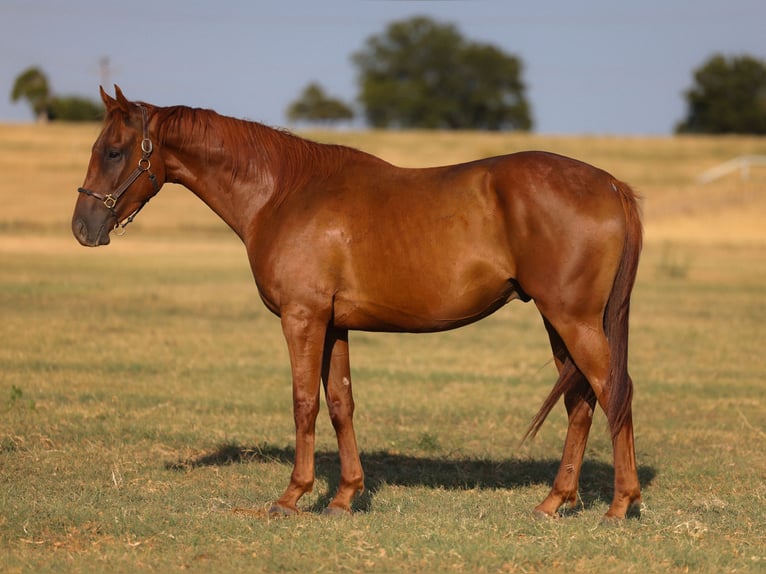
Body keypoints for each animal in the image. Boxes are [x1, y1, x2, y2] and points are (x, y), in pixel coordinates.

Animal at [72, 86, 643, 520]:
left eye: (115, 151)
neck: (284, 191)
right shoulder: (333, 324)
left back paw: (620, 504)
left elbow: (304, 402)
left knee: (613, 391)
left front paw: (292, 496)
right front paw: (345, 496)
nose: (82, 228)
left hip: (573, 320)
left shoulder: (303, 318)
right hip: (557, 321)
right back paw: (554, 501)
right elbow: (341, 403)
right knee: (580, 401)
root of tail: (611, 184)